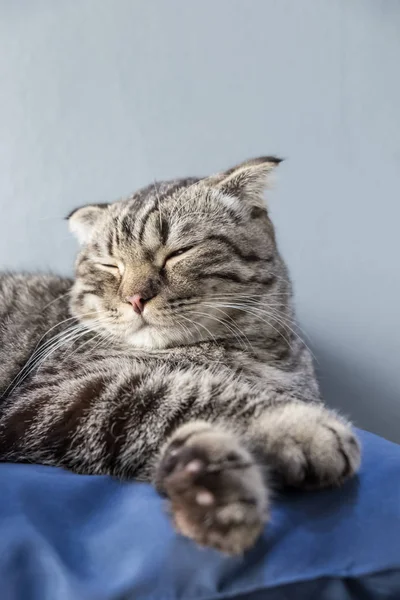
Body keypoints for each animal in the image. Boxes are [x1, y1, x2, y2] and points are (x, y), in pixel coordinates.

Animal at [0, 157, 360, 556]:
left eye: (179, 252)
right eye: (110, 265)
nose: (135, 298)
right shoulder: (58, 397)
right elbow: (192, 395)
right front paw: (295, 425)